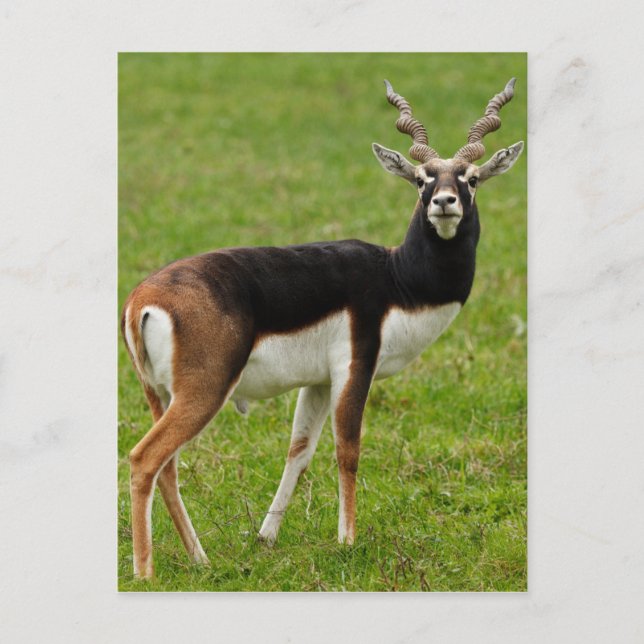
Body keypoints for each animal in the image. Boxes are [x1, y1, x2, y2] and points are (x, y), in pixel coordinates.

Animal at [121, 78, 524, 578]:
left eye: (470, 178)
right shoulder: (356, 365)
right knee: (144, 459)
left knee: (168, 467)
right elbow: (347, 449)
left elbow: (299, 450)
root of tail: (142, 301)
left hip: (158, 395)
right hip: (204, 391)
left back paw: (200, 559)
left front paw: (265, 537)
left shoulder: (316, 382)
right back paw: (145, 572)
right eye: (421, 178)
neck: (397, 278)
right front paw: (347, 541)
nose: (443, 203)